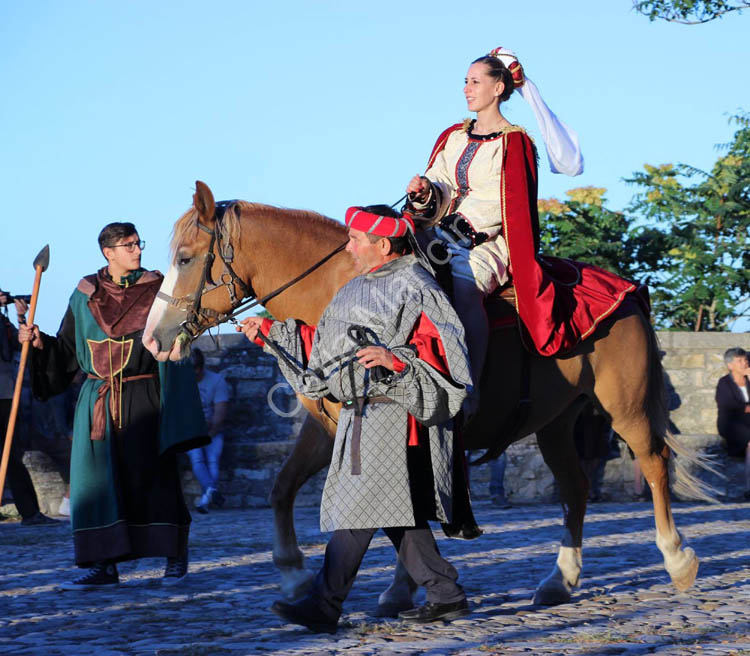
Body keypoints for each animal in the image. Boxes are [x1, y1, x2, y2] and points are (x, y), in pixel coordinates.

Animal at [144, 181, 712, 616]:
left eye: (186, 258)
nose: (153, 339)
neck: (342, 288)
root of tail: (626, 292)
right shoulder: (329, 426)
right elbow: (284, 489)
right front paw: (298, 578)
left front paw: (397, 588)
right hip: (556, 422)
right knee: (575, 487)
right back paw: (560, 580)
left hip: (626, 408)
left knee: (654, 465)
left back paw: (677, 559)